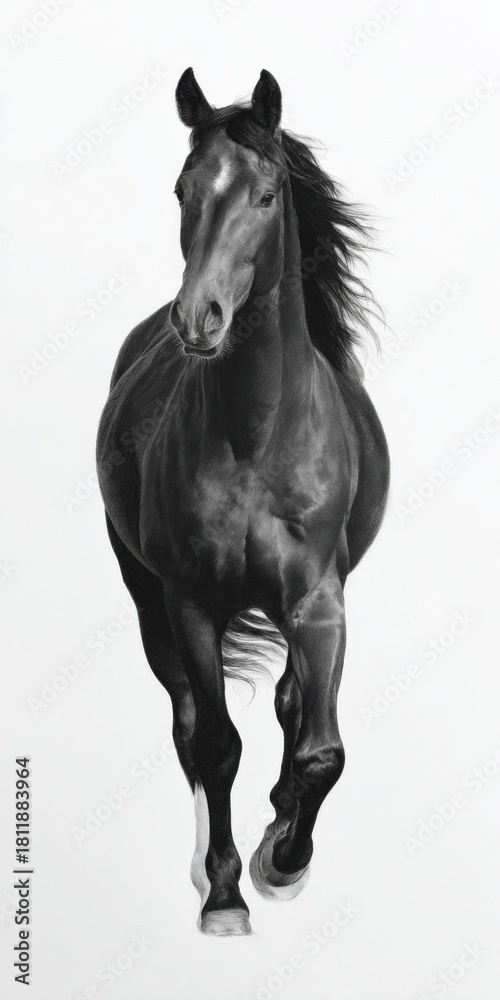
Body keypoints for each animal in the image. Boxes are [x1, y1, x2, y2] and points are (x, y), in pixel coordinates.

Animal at [96, 68, 389, 937]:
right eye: (183, 189)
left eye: (265, 194)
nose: (199, 318)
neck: (257, 435)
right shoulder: (191, 601)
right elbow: (217, 744)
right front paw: (228, 894)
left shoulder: (320, 602)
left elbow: (320, 747)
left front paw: (283, 859)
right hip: (146, 601)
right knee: (190, 727)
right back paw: (209, 869)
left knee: (291, 708)